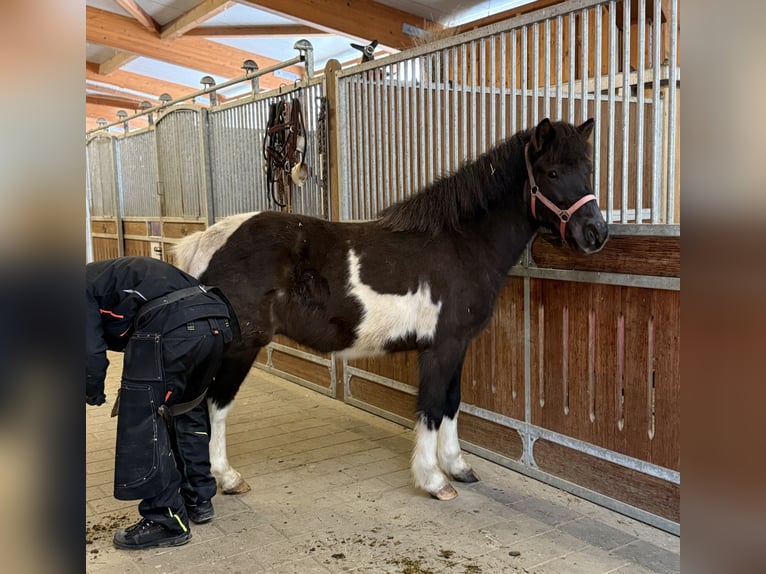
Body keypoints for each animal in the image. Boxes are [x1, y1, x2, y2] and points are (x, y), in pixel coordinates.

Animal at [173, 118, 608, 501]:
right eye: (552, 172)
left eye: (587, 169)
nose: (596, 233)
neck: (459, 244)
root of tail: (204, 241)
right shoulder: (440, 348)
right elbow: (431, 407)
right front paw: (434, 480)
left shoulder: (457, 345)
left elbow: (452, 402)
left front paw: (458, 467)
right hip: (240, 347)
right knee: (215, 405)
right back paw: (227, 478)